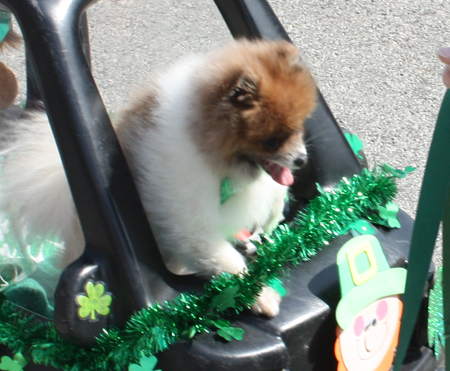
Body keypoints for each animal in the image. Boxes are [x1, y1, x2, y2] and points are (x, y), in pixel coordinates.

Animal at [0, 39, 316, 316]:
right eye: (271, 141)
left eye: (298, 128)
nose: (302, 159)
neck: (208, 145)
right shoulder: (187, 209)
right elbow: (219, 254)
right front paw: (257, 294)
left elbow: (272, 193)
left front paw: (272, 218)